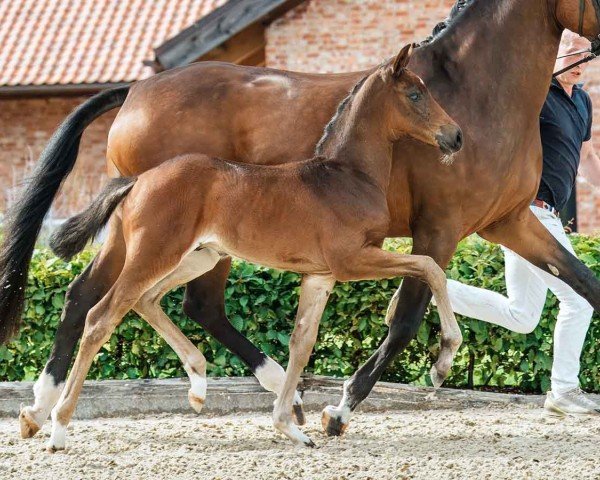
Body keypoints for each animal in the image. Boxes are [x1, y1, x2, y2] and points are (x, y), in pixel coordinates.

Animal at [44, 46, 462, 450]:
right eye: (415, 94)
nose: (455, 135)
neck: (346, 177)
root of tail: (137, 181)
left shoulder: (320, 275)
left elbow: (301, 342)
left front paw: (289, 427)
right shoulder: (352, 260)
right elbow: (430, 266)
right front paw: (443, 360)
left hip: (197, 257)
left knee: (147, 300)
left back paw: (197, 384)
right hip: (155, 254)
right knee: (101, 316)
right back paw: (58, 427)